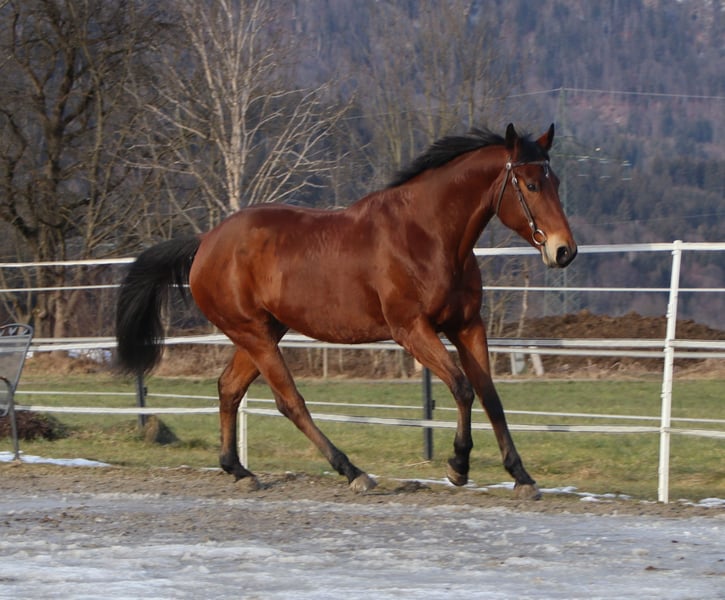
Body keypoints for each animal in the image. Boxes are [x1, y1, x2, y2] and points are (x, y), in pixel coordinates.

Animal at [116, 123, 577, 499]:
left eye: (556, 181)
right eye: (530, 185)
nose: (564, 251)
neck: (428, 235)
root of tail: (205, 243)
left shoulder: (466, 326)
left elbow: (489, 396)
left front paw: (521, 477)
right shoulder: (411, 330)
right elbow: (462, 388)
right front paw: (458, 466)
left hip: (263, 331)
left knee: (229, 388)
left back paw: (239, 471)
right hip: (253, 334)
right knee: (289, 401)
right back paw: (353, 472)